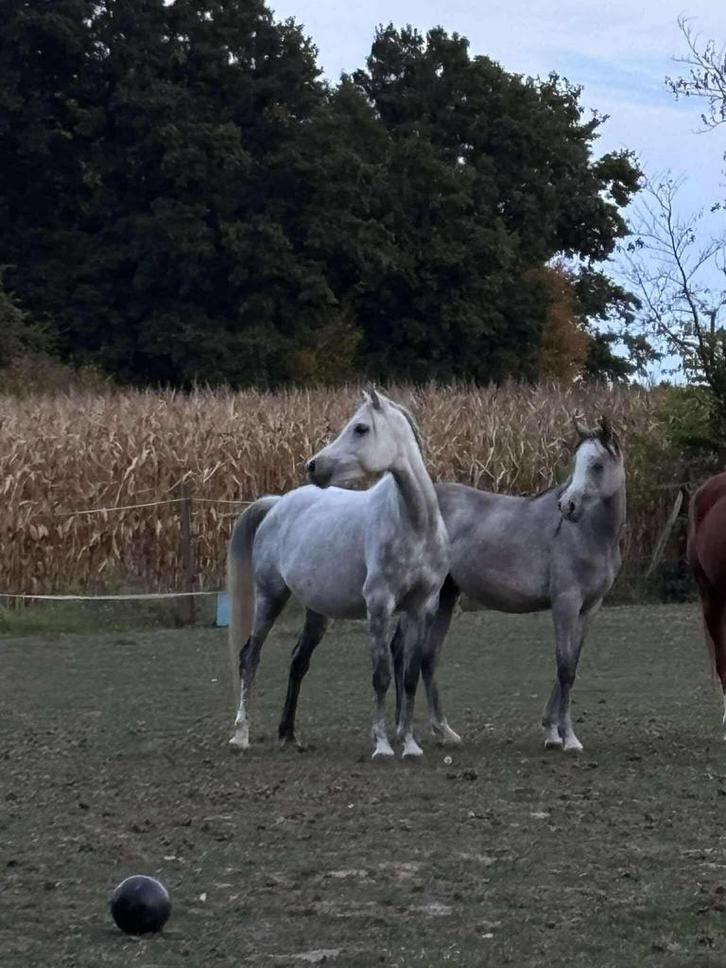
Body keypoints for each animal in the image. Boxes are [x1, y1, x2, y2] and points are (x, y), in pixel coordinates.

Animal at [226, 387, 449, 759]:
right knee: (249, 657)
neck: (414, 525)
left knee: (298, 661)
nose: (313, 466)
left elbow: (409, 676)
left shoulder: (421, 607)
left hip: (317, 612)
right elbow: (381, 675)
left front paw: (410, 745)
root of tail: (277, 504)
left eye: (361, 428)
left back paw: (288, 734)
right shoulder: (379, 606)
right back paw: (240, 736)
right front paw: (383, 745)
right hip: (270, 597)